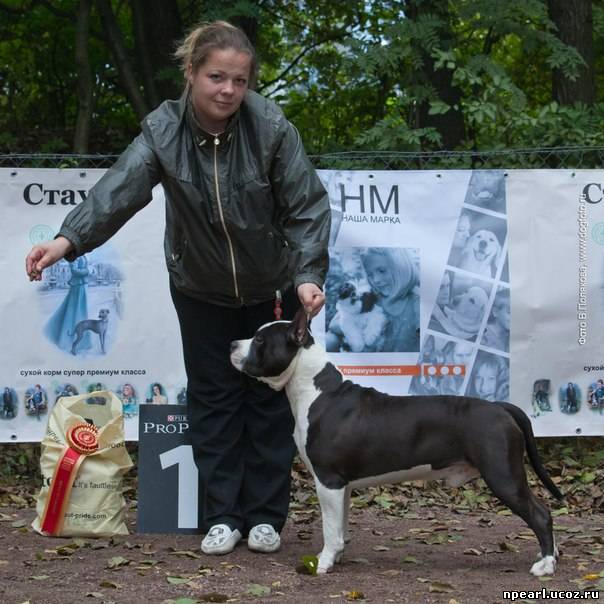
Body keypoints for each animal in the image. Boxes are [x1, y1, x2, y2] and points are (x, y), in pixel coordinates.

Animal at [230, 310, 560, 580]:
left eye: (259, 339)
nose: (232, 343)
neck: (316, 391)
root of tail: (501, 407)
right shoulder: (341, 486)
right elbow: (341, 525)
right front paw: (337, 556)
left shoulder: (328, 480)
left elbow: (329, 528)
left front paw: (323, 562)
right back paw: (550, 555)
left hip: (502, 474)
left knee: (541, 514)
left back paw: (545, 564)